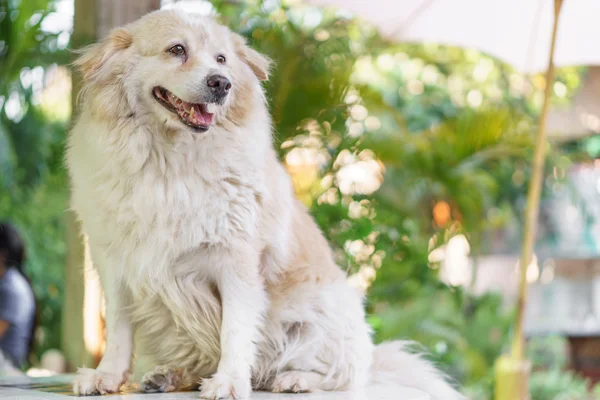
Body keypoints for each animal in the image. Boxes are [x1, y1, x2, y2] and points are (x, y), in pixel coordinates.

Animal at [67, 9, 464, 400]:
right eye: (177, 49)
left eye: (222, 59)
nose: (221, 83)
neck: (170, 161)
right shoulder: (115, 263)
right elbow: (118, 329)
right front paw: (106, 376)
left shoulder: (236, 261)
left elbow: (235, 329)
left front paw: (229, 382)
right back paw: (169, 375)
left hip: (323, 312)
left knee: (344, 376)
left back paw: (294, 379)